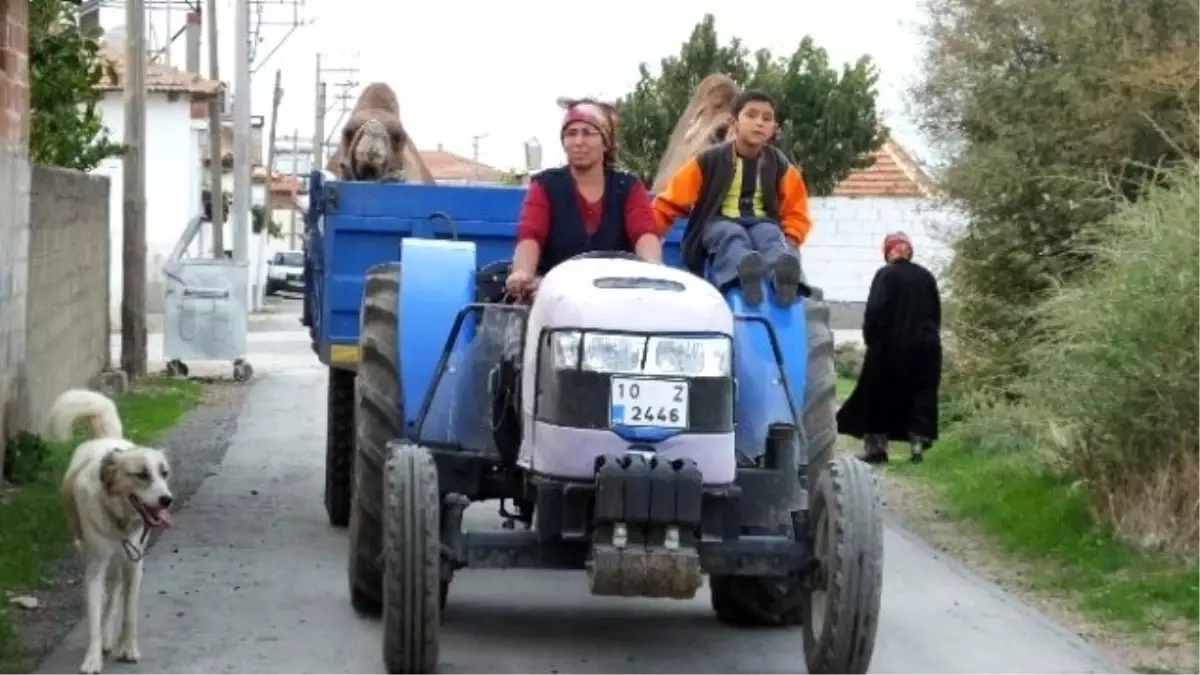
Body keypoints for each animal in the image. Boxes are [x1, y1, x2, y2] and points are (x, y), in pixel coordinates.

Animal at [49, 389, 174, 672]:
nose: (167, 500)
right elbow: (94, 616)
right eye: (142, 475)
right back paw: (105, 638)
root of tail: (105, 440)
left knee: (116, 591)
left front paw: (128, 648)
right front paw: (93, 659)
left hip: (121, 560)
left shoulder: (134, 565)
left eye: (164, 474)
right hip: (88, 550)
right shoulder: (95, 566)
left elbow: (129, 614)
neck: (119, 520)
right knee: (107, 593)